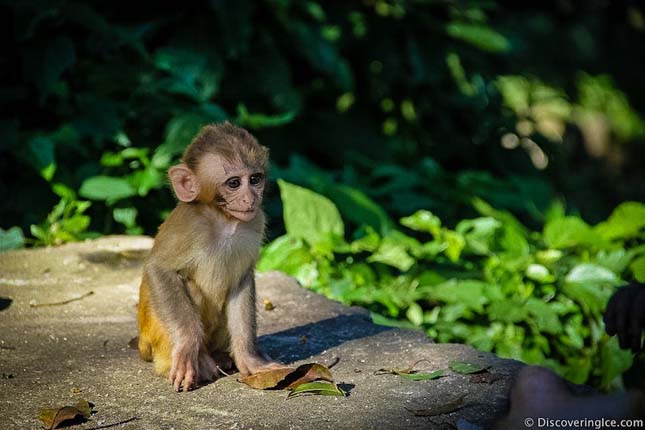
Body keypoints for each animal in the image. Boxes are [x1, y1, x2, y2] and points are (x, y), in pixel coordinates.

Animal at [137, 122, 278, 392]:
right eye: (233, 183)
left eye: (255, 179)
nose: (250, 198)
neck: (223, 219)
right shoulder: (190, 224)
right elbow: (159, 270)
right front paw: (188, 345)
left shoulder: (255, 220)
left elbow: (242, 281)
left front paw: (248, 358)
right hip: (154, 337)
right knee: (188, 286)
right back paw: (199, 359)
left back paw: (221, 356)